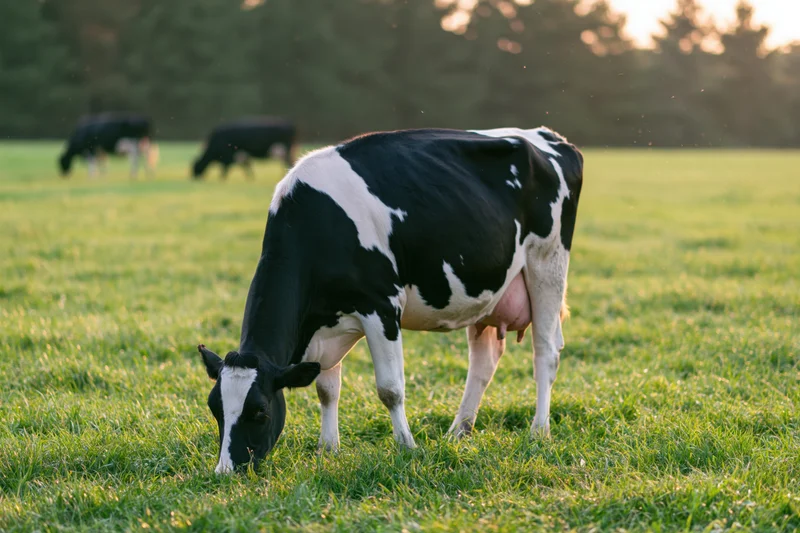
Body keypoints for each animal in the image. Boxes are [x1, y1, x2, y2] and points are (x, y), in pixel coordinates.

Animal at [197, 126, 583, 474]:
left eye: (260, 411)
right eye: (215, 409)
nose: (225, 470)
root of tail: (548, 136)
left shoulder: (381, 307)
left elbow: (390, 389)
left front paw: (406, 446)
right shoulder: (327, 321)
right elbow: (326, 389)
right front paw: (328, 448)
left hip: (547, 265)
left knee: (545, 352)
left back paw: (538, 430)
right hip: (487, 291)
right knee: (484, 361)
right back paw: (458, 431)